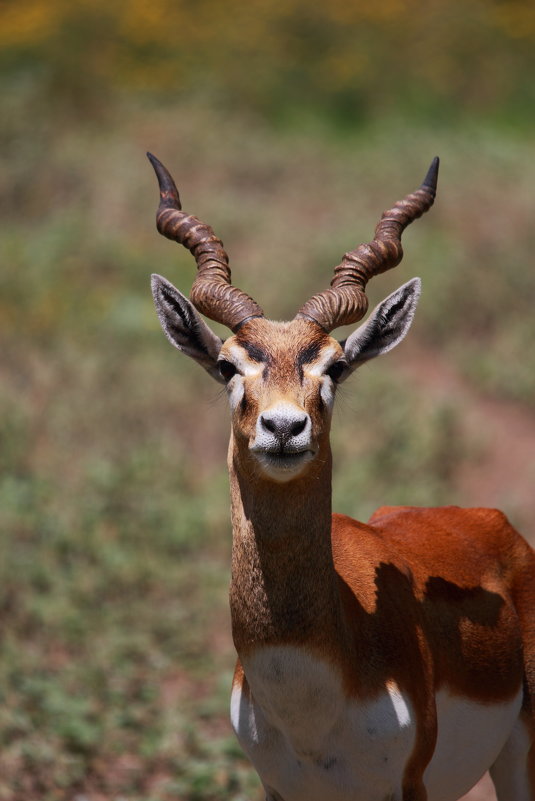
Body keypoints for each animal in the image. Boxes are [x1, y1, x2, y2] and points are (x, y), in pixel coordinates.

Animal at [148, 155, 535, 800]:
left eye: (335, 365)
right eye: (227, 365)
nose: (284, 427)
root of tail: (492, 523)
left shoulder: (407, 786)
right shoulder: (279, 788)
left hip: (521, 756)